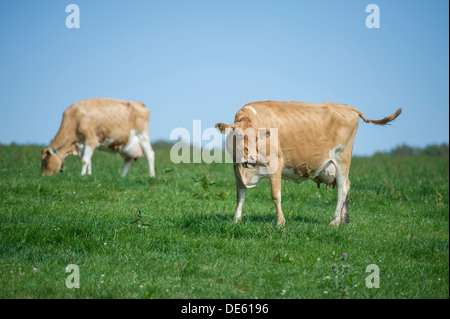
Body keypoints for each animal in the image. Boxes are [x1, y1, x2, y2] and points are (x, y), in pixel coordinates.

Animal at [216, 101, 402, 226]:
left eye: (256, 138)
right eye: (239, 135)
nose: (252, 159)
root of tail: (347, 107)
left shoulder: (276, 164)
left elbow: (276, 195)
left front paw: (280, 222)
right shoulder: (236, 168)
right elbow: (240, 194)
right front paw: (236, 219)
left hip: (342, 159)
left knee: (342, 189)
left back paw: (334, 222)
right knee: (347, 186)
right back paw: (344, 220)